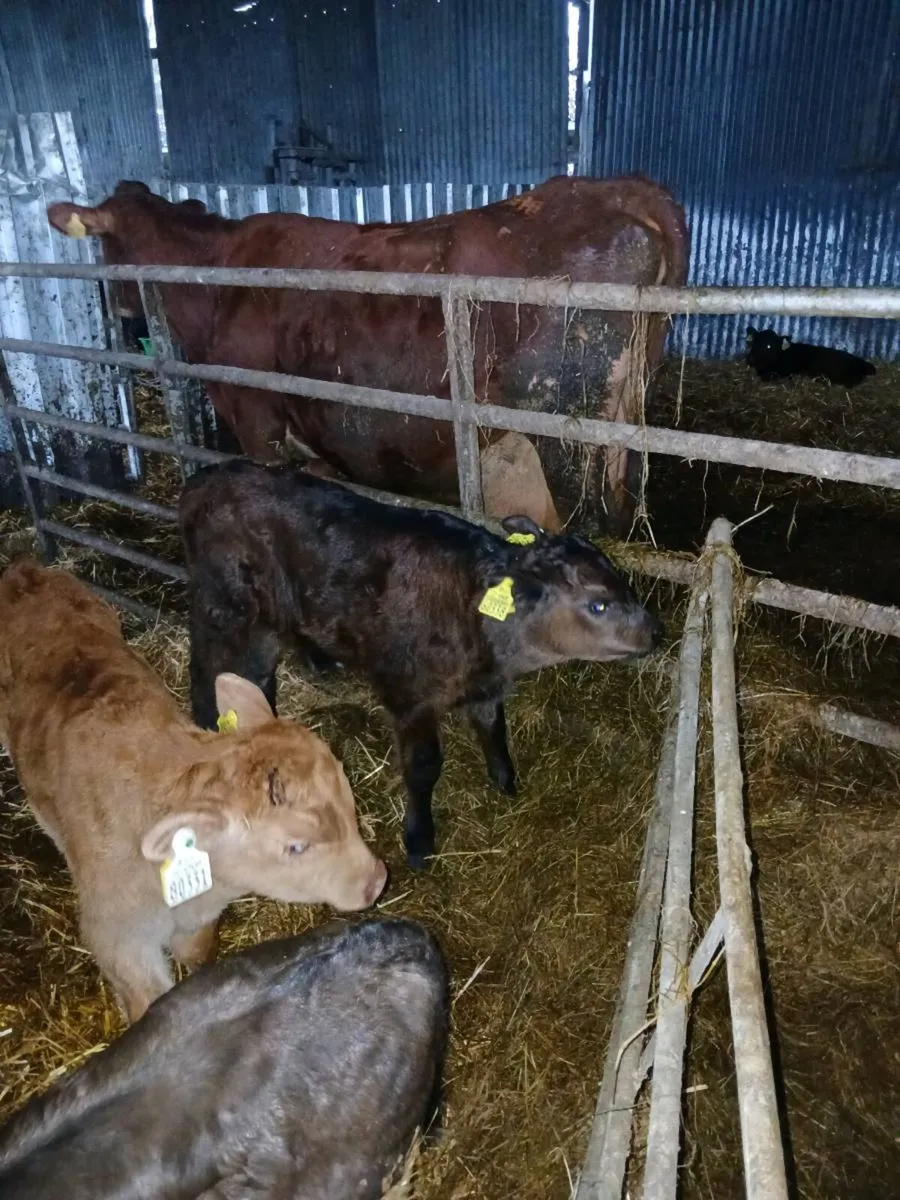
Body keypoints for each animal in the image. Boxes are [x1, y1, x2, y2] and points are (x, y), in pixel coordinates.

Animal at [0, 559, 387, 1022]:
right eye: (295, 847)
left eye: (349, 800)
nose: (376, 881)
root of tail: (25, 568)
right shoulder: (116, 939)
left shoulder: (201, 916)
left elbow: (197, 953)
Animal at [47, 175, 690, 537]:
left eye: (103, 244)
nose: (117, 312)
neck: (216, 275)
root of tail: (622, 190)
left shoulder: (255, 418)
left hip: (569, 436)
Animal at [178, 460, 664, 869]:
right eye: (598, 605)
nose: (657, 631)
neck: (473, 612)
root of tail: (209, 476)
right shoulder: (410, 697)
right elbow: (424, 766)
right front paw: (419, 839)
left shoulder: (485, 687)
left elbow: (493, 729)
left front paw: (506, 781)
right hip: (226, 608)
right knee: (215, 665)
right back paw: (208, 722)